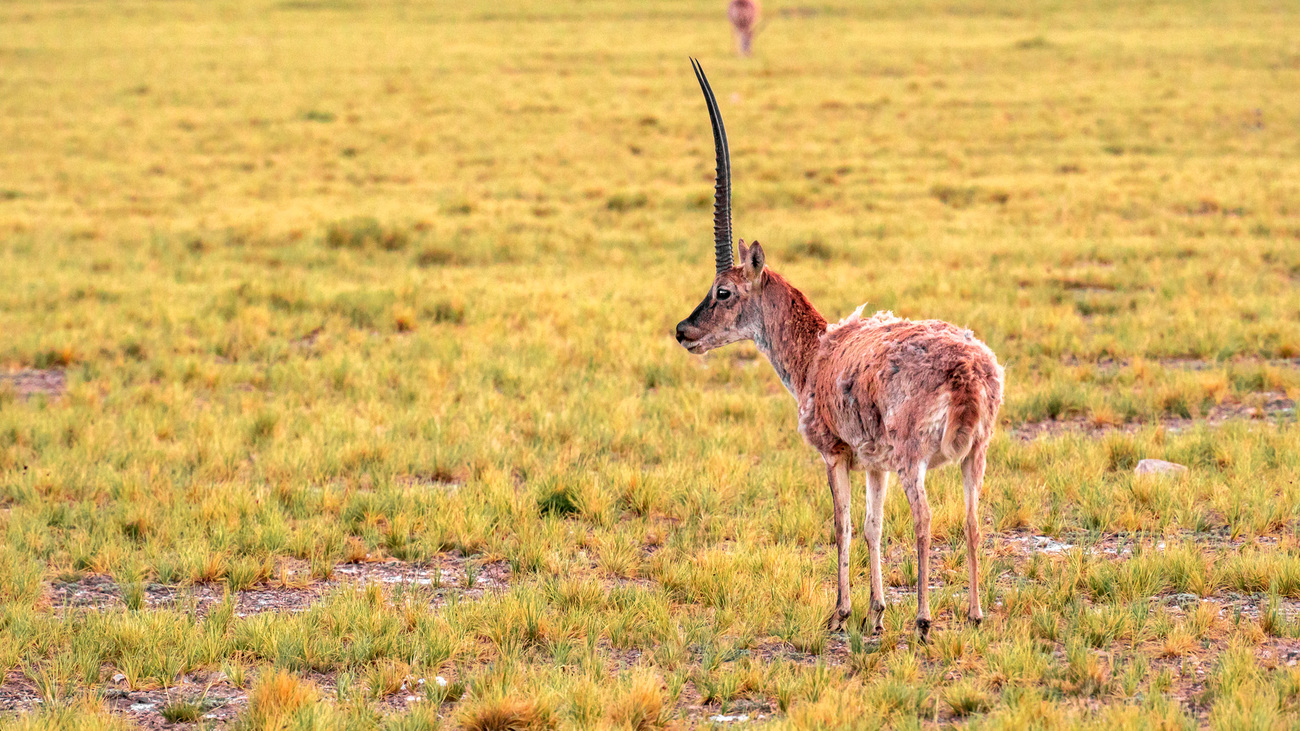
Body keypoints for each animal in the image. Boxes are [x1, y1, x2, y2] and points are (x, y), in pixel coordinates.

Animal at [676, 59, 998, 634]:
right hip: (973, 457)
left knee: (925, 519)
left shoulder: (835, 454)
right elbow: (872, 525)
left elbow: (842, 524)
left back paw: (925, 620)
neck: (817, 354)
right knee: (971, 520)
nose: (683, 331)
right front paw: (876, 613)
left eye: (723, 291)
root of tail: (968, 370)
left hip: (915, 459)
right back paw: (975, 613)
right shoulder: (873, 463)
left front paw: (843, 612)